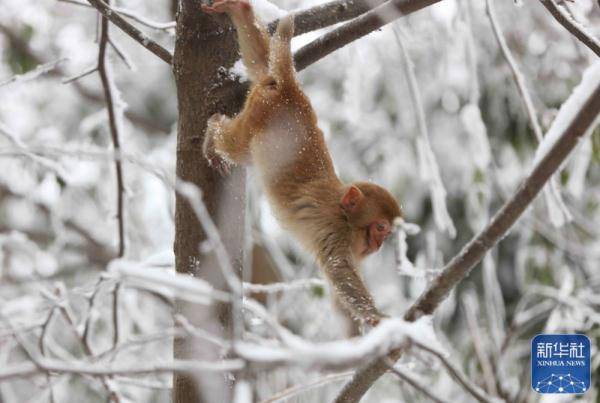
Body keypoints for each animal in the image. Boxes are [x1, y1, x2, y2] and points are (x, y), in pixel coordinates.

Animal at [199, 0, 400, 328]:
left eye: (387, 232)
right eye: (380, 227)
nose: (377, 244)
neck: (343, 209)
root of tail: (290, 91)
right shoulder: (335, 231)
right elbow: (340, 273)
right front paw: (377, 319)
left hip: (264, 95)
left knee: (262, 62)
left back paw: (241, 11)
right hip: (257, 118)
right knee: (234, 147)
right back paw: (213, 132)